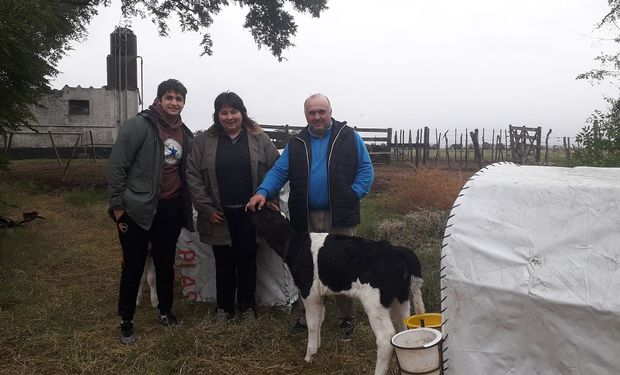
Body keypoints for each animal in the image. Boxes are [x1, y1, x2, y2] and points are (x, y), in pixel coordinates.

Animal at [249, 209, 424, 375]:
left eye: (267, 213)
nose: (250, 208)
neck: (297, 246)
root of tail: (397, 250)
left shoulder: (309, 292)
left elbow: (312, 324)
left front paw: (309, 355)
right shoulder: (320, 294)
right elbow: (320, 319)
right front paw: (317, 347)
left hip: (375, 304)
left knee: (386, 338)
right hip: (401, 299)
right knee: (404, 329)